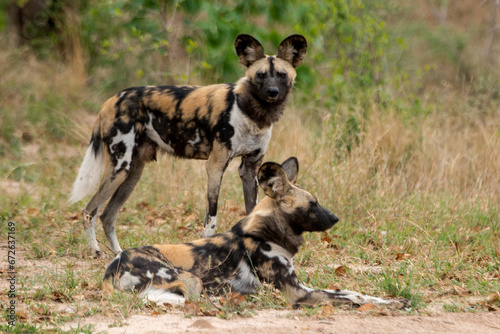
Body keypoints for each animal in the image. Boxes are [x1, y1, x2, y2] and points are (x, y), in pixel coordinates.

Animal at [68, 34, 306, 258]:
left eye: (282, 75)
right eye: (261, 75)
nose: (272, 91)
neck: (252, 112)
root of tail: (111, 100)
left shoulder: (250, 168)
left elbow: (251, 211)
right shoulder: (215, 166)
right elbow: (211, 221)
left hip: (132, 174)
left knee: (108, 215)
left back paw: (119, 254)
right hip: (119, 168)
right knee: (89, 211)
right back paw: (95, 251)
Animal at [102, 158, 410, 310]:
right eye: (313, 204)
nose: (336, 218)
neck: (266, 235)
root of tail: (113, 266)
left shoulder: (303, 286)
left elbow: (353, 292)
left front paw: (394, 302)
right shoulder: (297, 293)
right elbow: (347, 298)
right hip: (190, 280)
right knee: (192, 300)